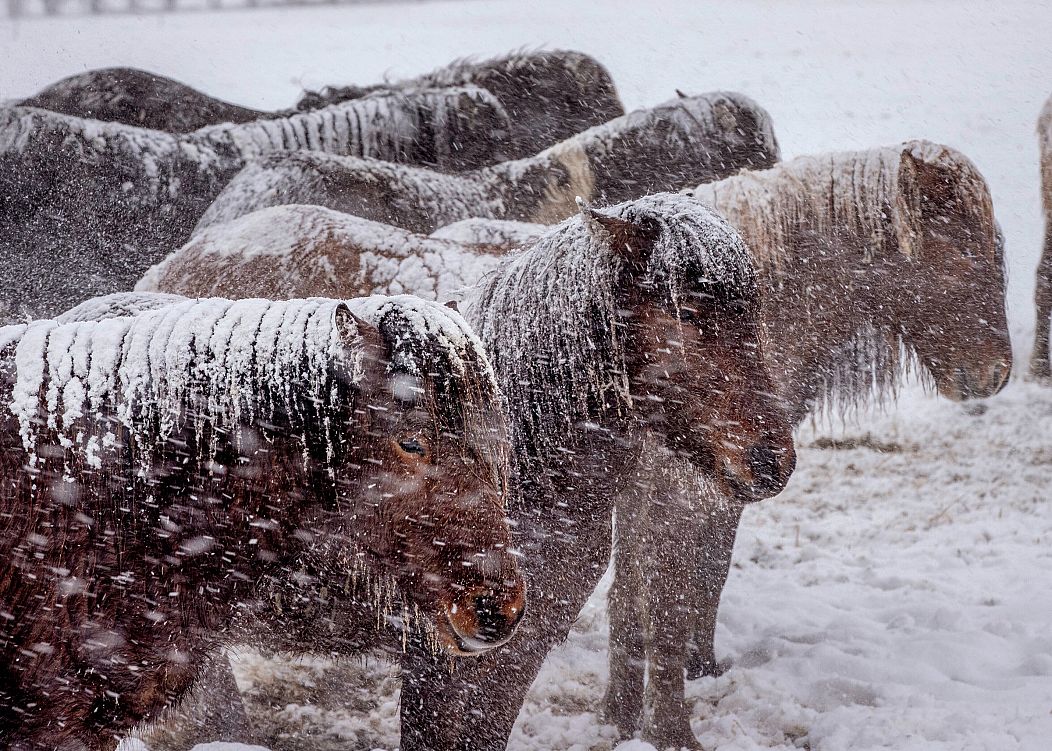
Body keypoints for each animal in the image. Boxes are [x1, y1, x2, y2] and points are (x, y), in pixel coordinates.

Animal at [605, 141, 1014, 748]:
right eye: (964, 253)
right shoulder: (682, 495)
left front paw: (633, 710)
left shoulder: (679, 495)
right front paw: (671, 732)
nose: (994, 375)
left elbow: (677, 587)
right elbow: (668, 605)